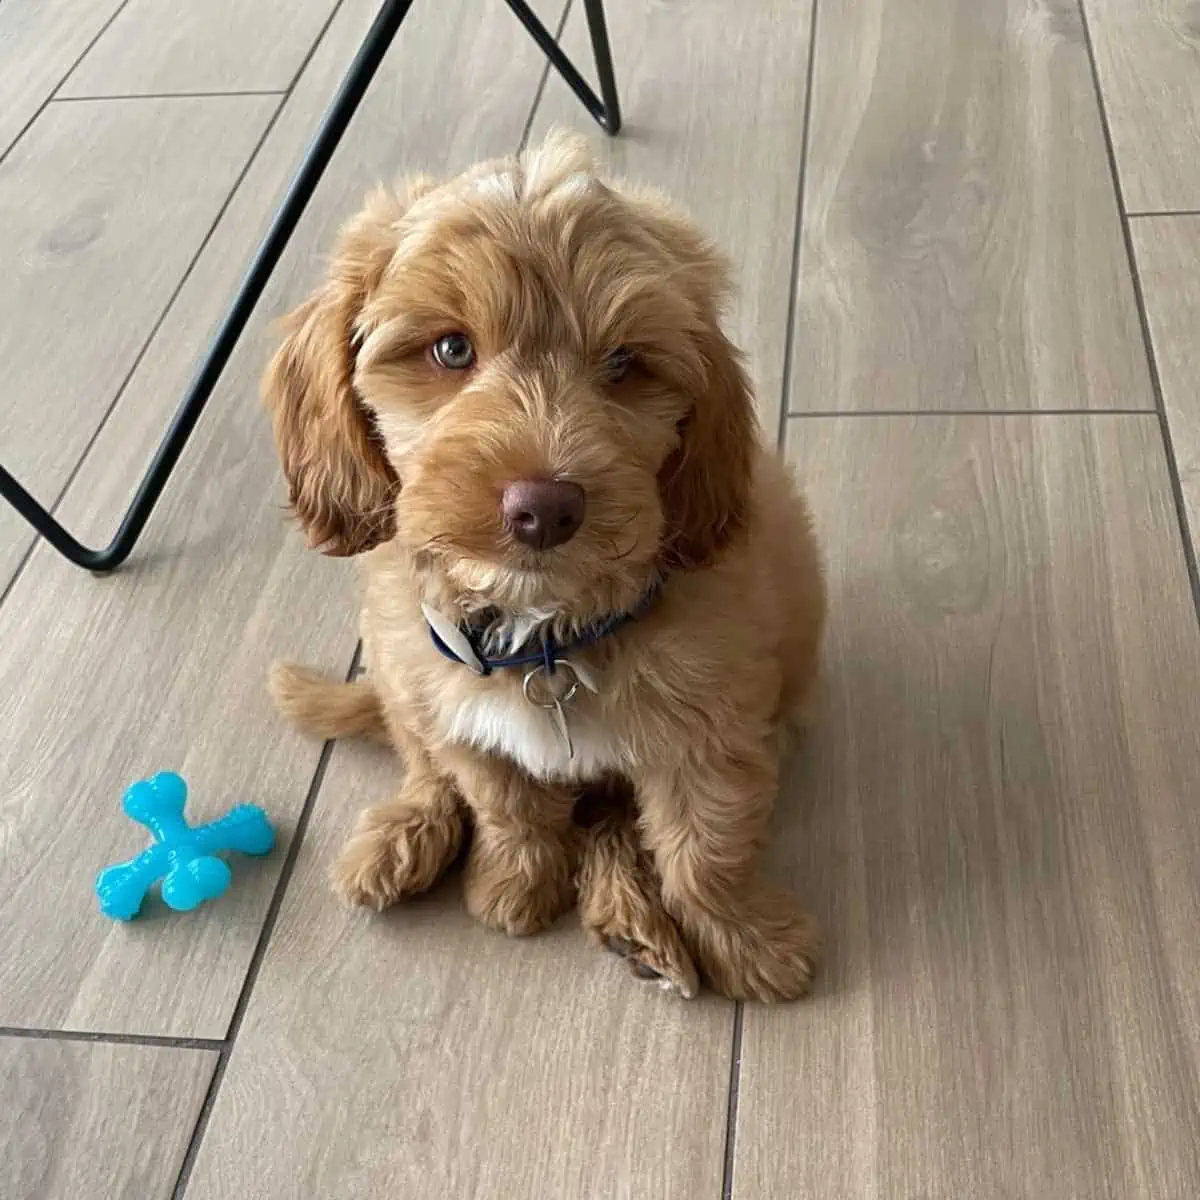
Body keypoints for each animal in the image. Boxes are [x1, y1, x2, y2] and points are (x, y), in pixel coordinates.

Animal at [262, 129, 825, 1003]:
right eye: (450, 348)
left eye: (624, 363)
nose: (545, 506)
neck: (548, 634)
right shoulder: (457, 710)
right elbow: (504, 803)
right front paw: (515, 885)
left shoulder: (711, 730)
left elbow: (704, 850)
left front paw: (747, 939)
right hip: (393, 660)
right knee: (421, 760)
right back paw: (405, 836)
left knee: (617, 825)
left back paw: (636, 928)